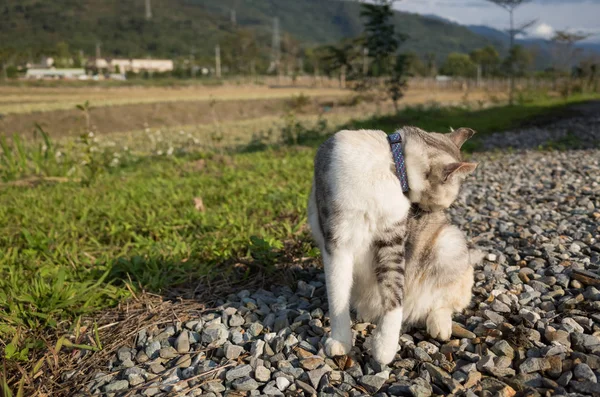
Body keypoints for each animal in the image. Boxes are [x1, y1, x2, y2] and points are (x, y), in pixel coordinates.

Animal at [308, 125, 476, 364]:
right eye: (443, 204)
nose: (436, 216)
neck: (390, 162)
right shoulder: (338, 241)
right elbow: (337, 296)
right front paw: (341, 340)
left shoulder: (392, 238)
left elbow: (394, 291)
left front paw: (385, 346)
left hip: (448, 243)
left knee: (446, 301)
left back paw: (439, 325)